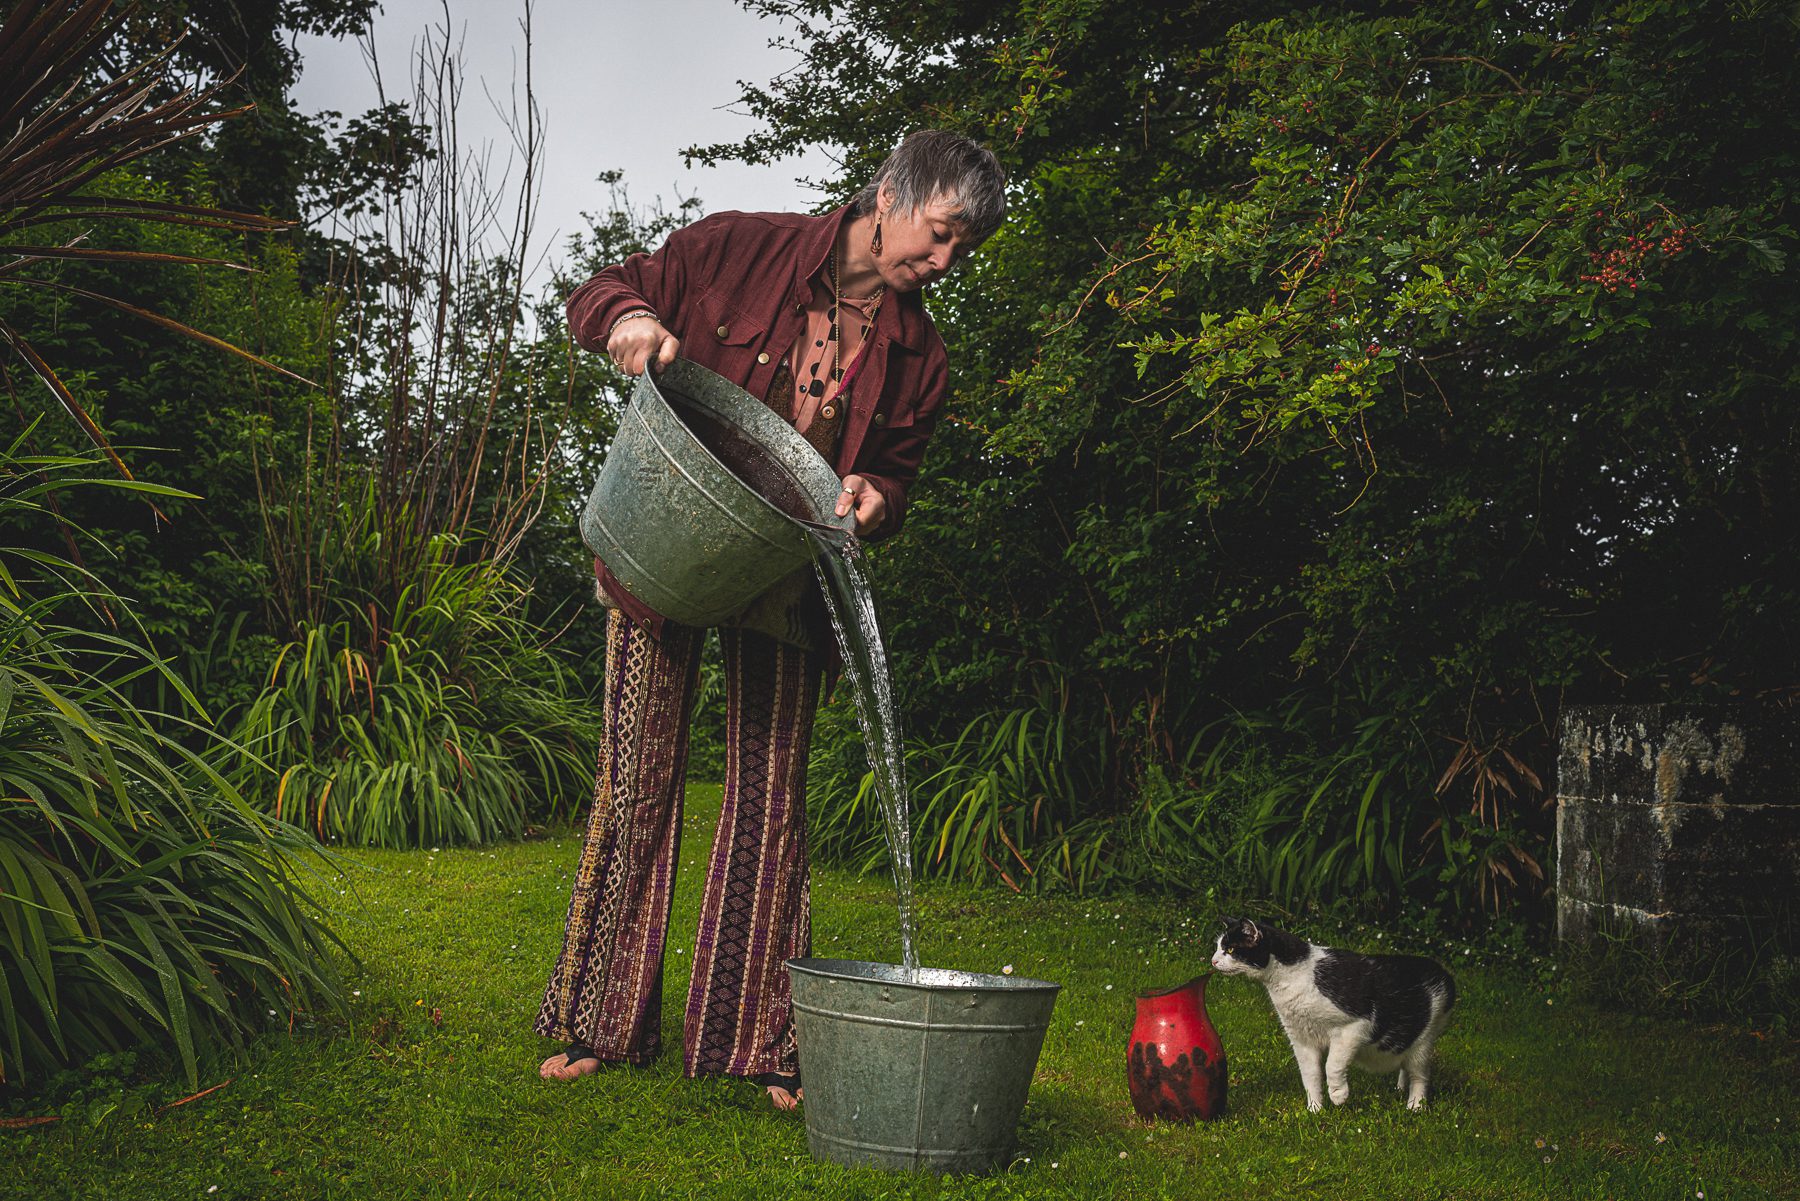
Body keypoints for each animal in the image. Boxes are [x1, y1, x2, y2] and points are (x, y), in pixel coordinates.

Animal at [1202, 921, 1454, 1109]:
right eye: (1218, 947)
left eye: (1231, 950)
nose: (1213, 960)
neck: (1288, 980)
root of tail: (1444, 973)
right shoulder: (1301, 1039)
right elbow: (1310, 1075)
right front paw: (1314, 1110)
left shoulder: (1354, 1026)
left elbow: (1332, 1064)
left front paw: (1338, 1095)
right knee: (1406, 1064)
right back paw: (1400, 1089)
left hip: (1424, 1041)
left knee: (1420, 1075)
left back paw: (1415, 1106)